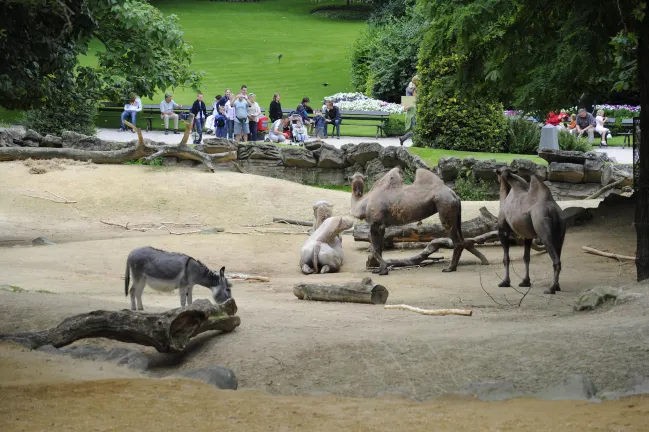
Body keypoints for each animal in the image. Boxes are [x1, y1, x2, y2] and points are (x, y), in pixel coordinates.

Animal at [494, 167, 564, 296]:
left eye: (497, 173)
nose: (497, 180)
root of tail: (553, 209)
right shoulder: (528, 236)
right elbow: (526, 257)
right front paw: (525, 281)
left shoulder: (503, 231)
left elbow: (506, 258)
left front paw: (505, 282)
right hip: (561, 231)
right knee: (558, 253)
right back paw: (557, 286)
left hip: (543, 228)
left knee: (555, 260)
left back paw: (551, 288)